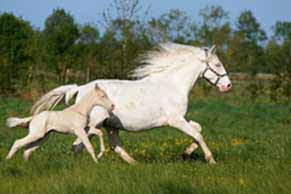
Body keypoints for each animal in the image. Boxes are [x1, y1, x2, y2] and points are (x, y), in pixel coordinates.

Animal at [31, 42, 233, 164]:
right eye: (217, 65)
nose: (228, 86)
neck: (173, 84)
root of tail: (80, 89)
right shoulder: (175, 120)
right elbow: (198, 134)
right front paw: (211, 160)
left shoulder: (180, 118)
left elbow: (197, 129)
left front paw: (186, 153)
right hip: (94, 124)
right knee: (78, 145)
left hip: (110, 125)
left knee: (114, 146)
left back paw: (135, 164)